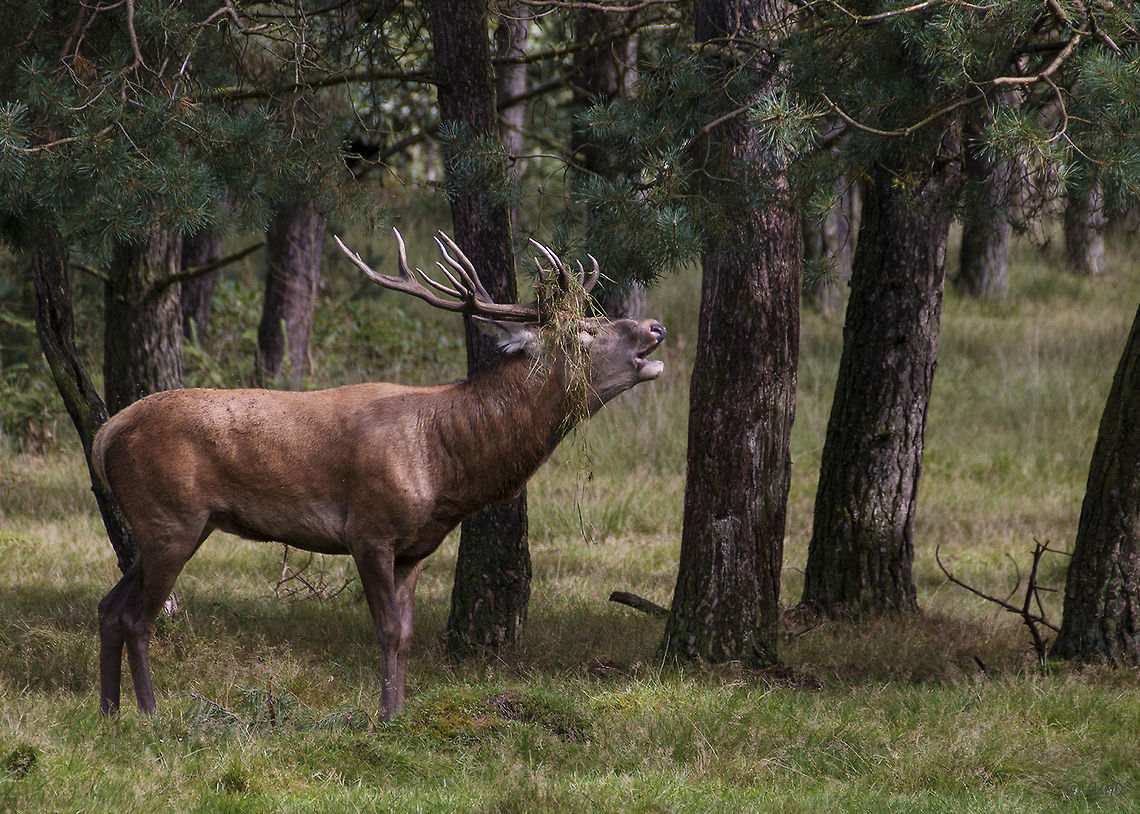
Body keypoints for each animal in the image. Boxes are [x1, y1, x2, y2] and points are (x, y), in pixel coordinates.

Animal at [92, 228, 666, 721]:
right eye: (584, 332)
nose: (654, 327)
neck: (445, 466)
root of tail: (106, 432)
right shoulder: (369, 530)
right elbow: (387, 630)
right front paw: (385, 716)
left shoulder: (415, 547)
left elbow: (407, 634)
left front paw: (402, 711)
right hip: (171, 517)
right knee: (137, 616)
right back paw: (149, 713)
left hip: (178, 527)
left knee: (109, 605)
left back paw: (109, 711)